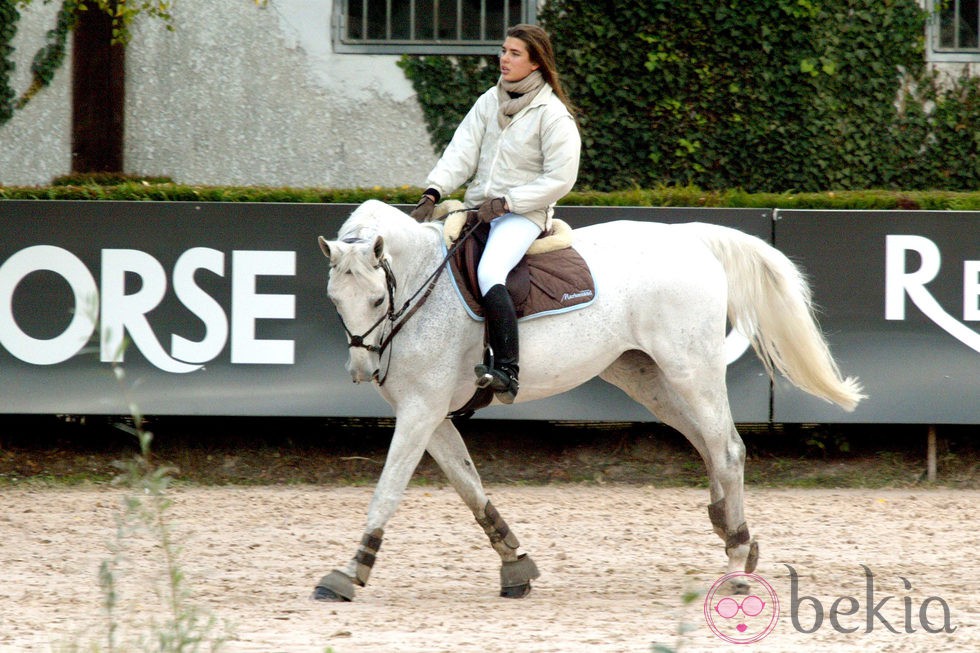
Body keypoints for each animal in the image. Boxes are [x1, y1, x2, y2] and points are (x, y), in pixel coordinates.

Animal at [316, 199, 864, 600]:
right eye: (334, 301)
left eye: (376, 299)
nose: (361, 371)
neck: (420, 287)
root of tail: (688, 236)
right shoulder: (429, 414)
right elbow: (469, 484)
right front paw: (515, 564)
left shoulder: (421, 411)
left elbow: (387, 490)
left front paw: (350, 572)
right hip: (645, 377)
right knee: (710, 443)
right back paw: (734, 533)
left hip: (692, 368)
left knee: (727, 448)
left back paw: (736, 559)